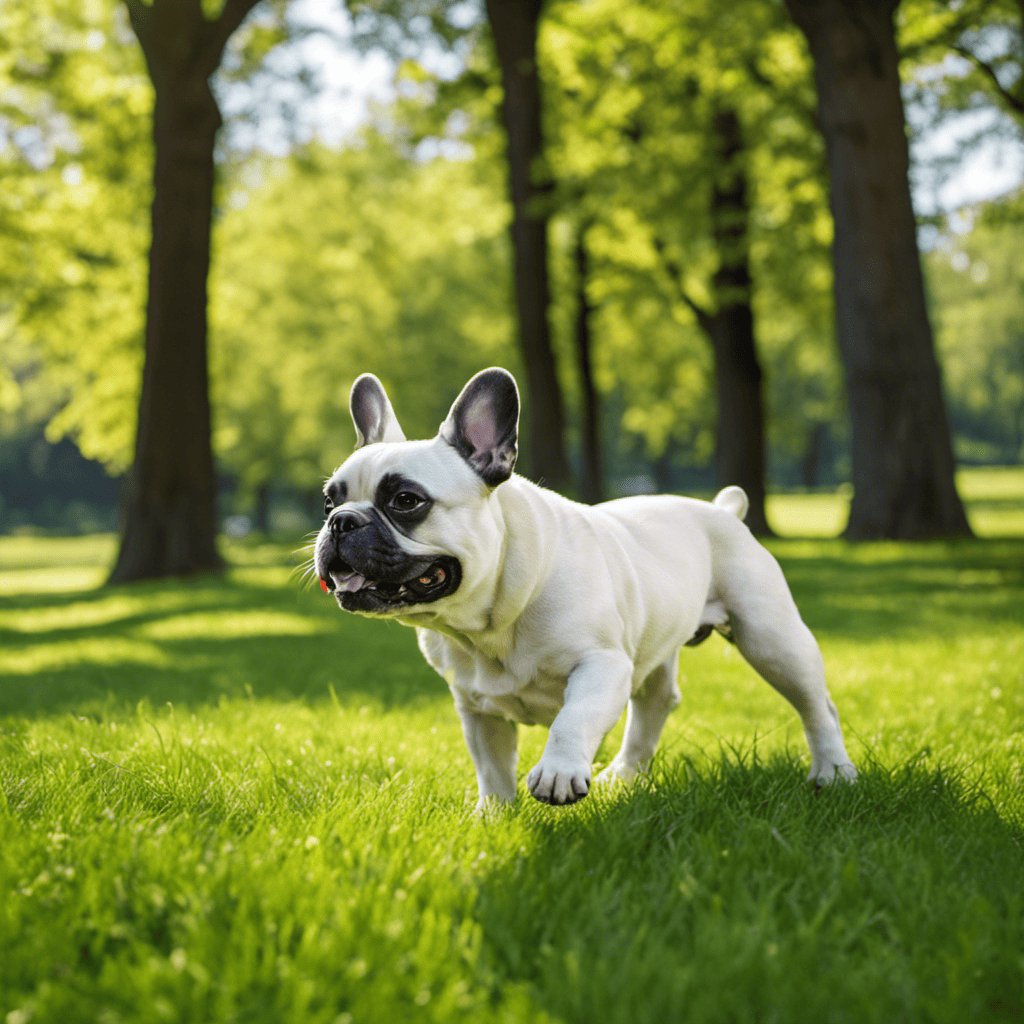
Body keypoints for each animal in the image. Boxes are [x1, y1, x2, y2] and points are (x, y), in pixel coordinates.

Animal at [311, 368, 856, 806]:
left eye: (405, 500)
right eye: (328, 500)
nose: (341, 522)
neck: (491, 620)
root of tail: (723, 511)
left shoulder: (602, 666)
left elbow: (573, 719)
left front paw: (557, 773)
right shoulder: (476, 708)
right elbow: (492, 769)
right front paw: (493, 818)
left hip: (769, 636)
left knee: (816, 704)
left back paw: (832, 770)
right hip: (655, 648)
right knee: (655, 704)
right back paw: (623, 775)